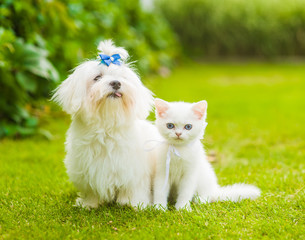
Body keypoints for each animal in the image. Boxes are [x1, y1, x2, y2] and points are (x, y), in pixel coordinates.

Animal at [51, 40, 159, 209]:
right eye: (97, 77)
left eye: (122, 78)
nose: (116, 83)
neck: (107, 125)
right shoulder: (86, 168)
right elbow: (91, 190)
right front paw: (89, 204)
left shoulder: (134, 171)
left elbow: (133, 189)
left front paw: (133, 204)